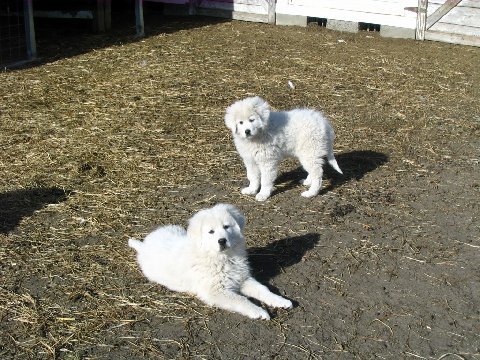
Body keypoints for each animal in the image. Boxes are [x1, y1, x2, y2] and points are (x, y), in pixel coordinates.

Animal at [128, 204, 292, 320]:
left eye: (226, 227)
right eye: (211, 232)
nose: (222, 241)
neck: (222, 257)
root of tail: (144, 245)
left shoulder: (242, 279)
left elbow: (263, 290)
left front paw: (280, 301)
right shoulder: (215, 291)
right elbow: (241, 299)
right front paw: (259, 311)